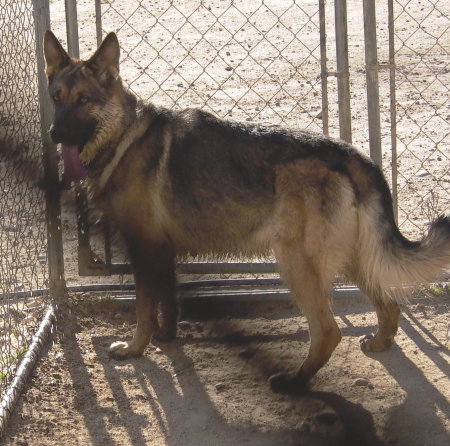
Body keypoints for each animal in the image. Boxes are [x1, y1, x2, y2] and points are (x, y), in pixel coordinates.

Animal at [44, 31, 450, 392]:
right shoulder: (162, 252)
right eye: (57, 98)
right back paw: (379, 342)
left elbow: (145, 309)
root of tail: (348, 153)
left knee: (328, 332)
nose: (54, 134)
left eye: (84, 100)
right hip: (349, 256)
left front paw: (134, 349)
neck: (124, 135)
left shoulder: (143, 249)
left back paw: (295, 383)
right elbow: (169, 303)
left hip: (297, 265)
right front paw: (167, 338)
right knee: (389, 301)